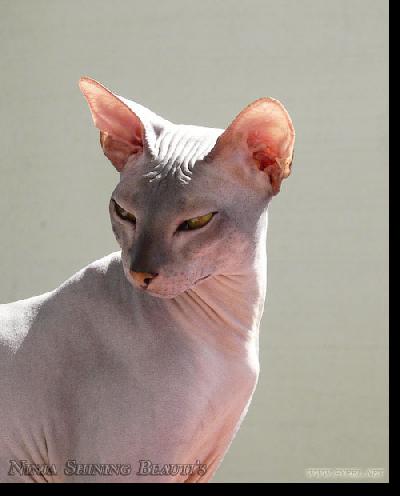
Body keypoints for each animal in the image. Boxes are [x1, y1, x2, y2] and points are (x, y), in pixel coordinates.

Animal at [0, 77, 295, 483]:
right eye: (124, 213)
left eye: (196, 222)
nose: (140, 273)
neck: (230, 329)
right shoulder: (113, 468)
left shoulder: (195, 469)